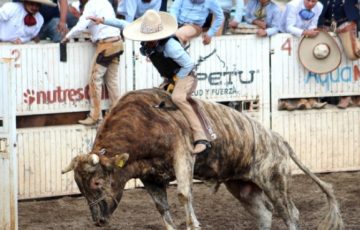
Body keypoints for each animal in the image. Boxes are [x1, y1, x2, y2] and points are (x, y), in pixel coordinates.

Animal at [62, 88, 344, 230]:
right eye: (80, 187)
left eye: (97, 182)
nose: (98, 221)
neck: (145, 121)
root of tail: (278, 139)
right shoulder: (150, 177)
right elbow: (163, 211)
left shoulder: (183, 155)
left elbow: (184, 196)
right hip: (243, 187)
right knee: (264, 213)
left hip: (275, 181)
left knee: (290, 214)